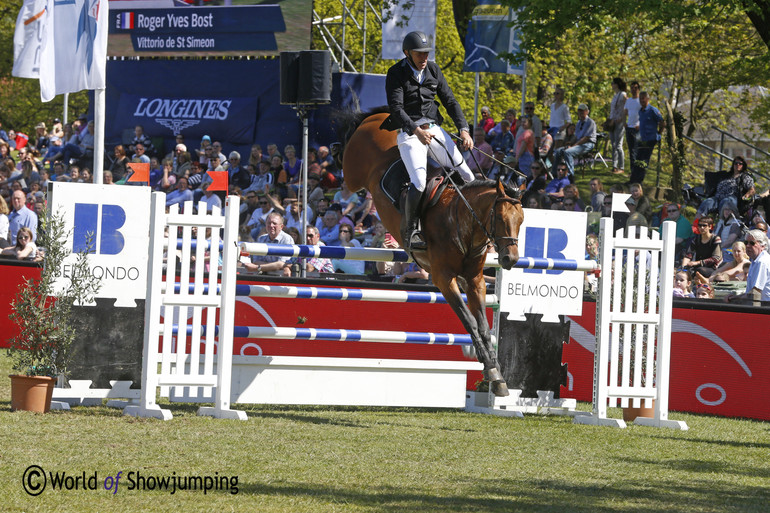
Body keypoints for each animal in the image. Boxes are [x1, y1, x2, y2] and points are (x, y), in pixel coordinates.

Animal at [340, 109, 520, 396]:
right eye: (501, 219)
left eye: (522, 220)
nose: (510, 259)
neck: (459, 217)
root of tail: (380, 116)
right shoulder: (444, 279)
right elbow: (469, 321)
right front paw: (491, 368)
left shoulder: (475, 280)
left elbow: (483, 324)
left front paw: (496, 374)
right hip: (353, 173)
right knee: (345, 166)